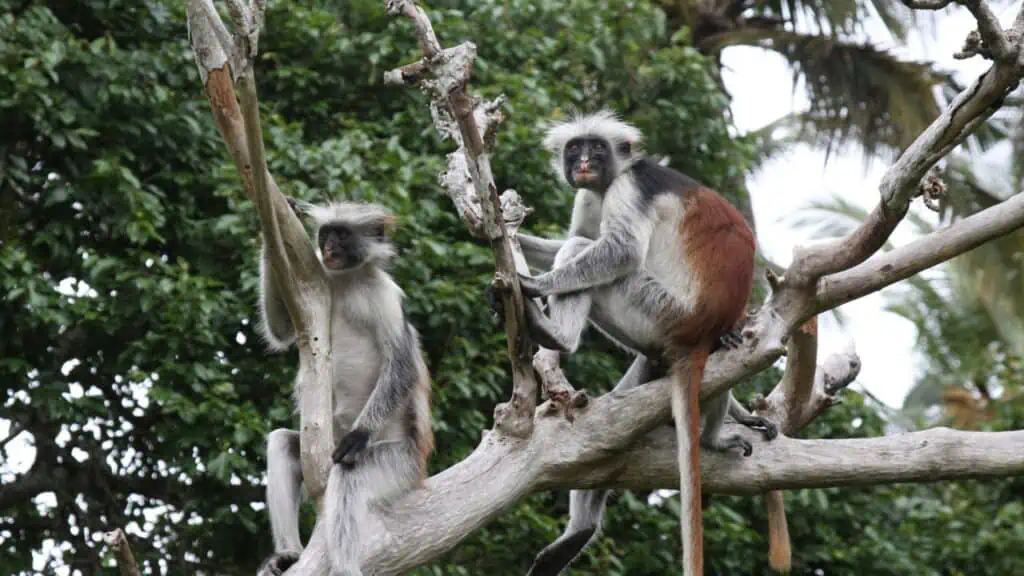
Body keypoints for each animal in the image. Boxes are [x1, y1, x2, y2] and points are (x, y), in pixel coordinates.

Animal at [516, 109, 778, 569]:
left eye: (596, 148)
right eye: (575, 149)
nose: (584, 162)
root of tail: (702, 327)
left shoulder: (628, 188)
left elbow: (618, 251)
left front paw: (536, 284)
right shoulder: (593, 194)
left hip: (658, 310)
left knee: (588, 254)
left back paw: (555, 335)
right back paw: (577, 532)